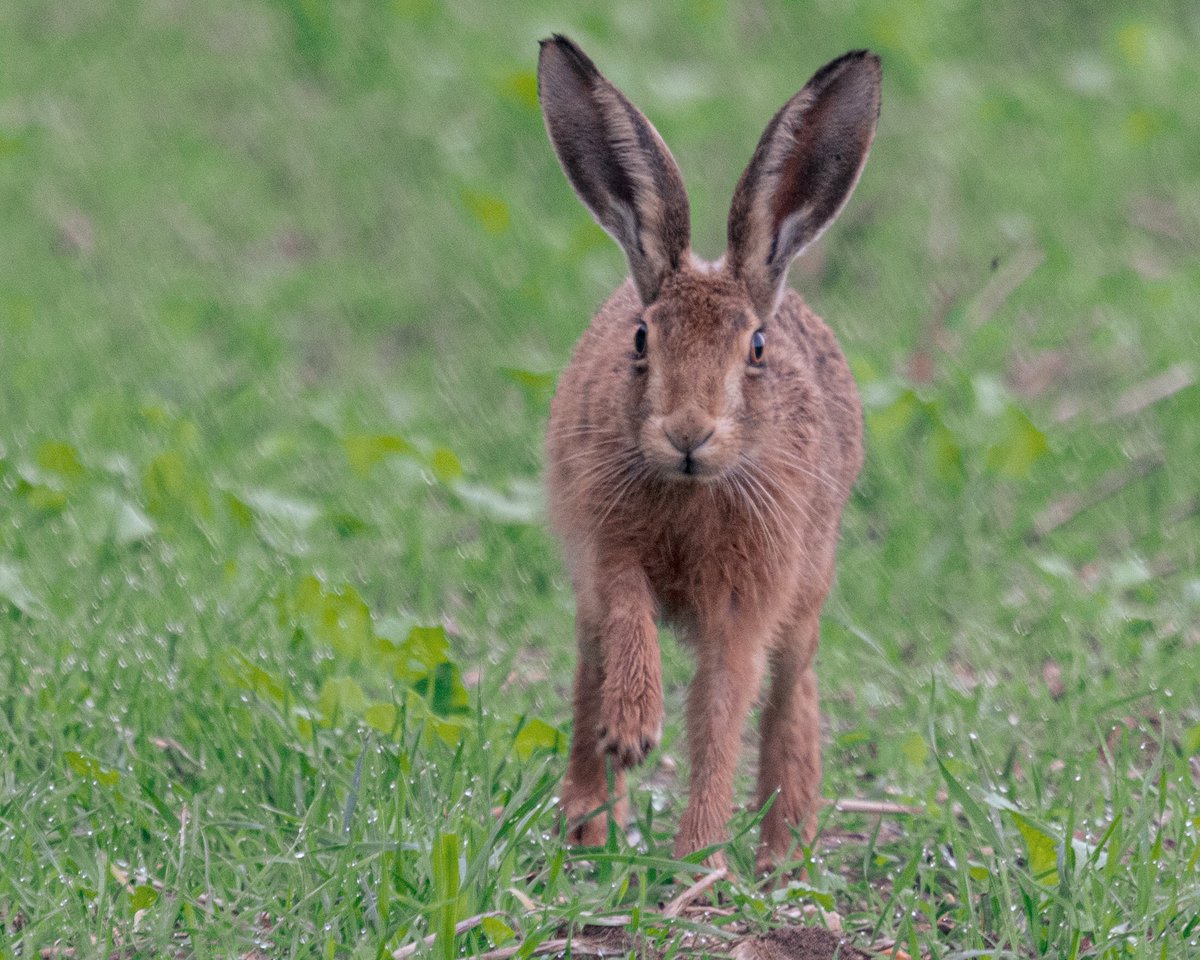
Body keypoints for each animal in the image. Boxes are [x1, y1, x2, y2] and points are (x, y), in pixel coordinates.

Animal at [537, 34, 880, 871]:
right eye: (641, 339)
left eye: (755, 348)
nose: (687, 433)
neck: (692, 489)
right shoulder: (607, 546)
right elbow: (630, 616)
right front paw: (634, 729)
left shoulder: (745, 604)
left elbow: (720, 717)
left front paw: (700, 857)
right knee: (590, 669)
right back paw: (589, 820)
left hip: (807, 592)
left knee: (791, 696)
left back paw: (784, 851)